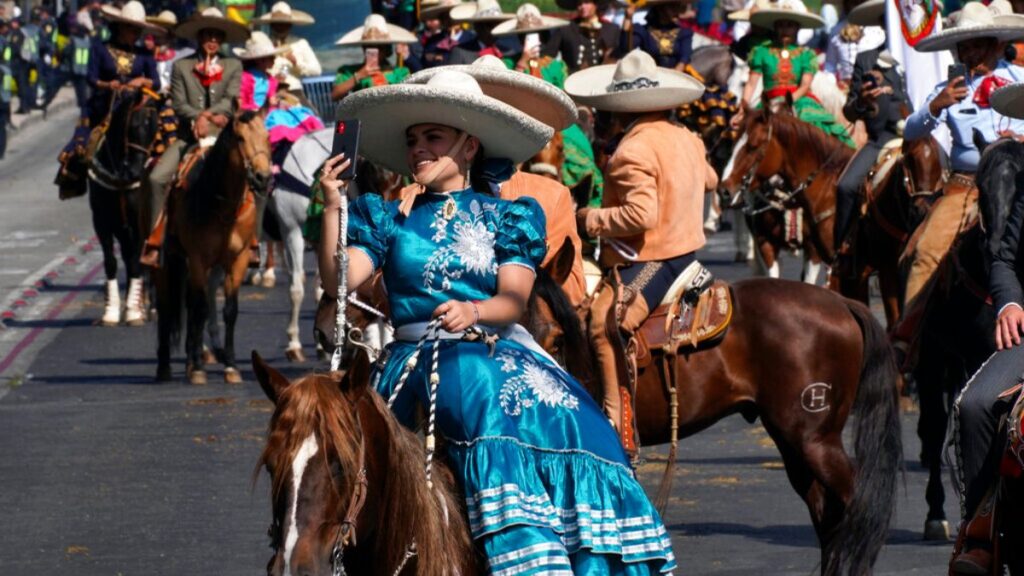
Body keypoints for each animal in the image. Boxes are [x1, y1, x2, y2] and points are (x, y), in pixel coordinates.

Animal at [154, 109, 274, 383]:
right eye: (240, 138)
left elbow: (229, 310)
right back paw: (166, 366)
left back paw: (190, 359)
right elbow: (199, 308)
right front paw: (199, 369)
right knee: (168, 307)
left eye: (267, 136)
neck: (221, 204)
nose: (262, 178)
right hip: (166, 261)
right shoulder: (198, 259)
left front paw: (230, 365)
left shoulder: (237, 260)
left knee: (190, 302)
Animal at [532, 240, 901, 569]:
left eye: (557, 339)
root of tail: (842, 303)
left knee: (856, 510)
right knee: (829, 518)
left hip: (815, 440)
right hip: (795, 444)